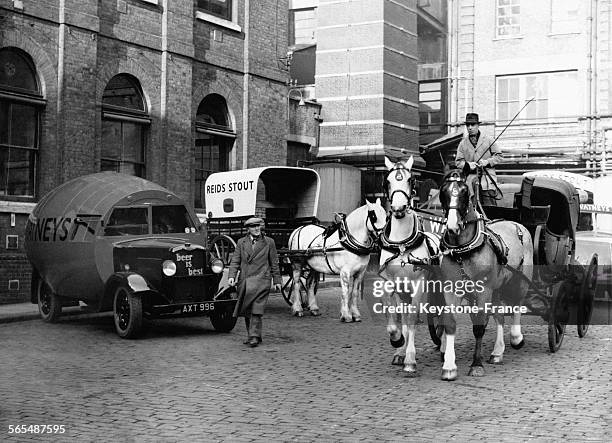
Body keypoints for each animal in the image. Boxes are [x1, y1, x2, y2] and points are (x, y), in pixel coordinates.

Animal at [438, 173, 532, 382]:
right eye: (443, 192)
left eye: (465, 193)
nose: (452, 226)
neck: (463, 252)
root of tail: (516, 224)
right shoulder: (451, 289)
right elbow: (450, 323)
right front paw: (449, 367)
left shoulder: (483, 290)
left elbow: (479, 326)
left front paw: (476, 365)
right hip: (497, 287)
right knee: (500, 315)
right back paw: (497, 352)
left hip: (520, 279)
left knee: (517, 305)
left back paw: (516, 337)